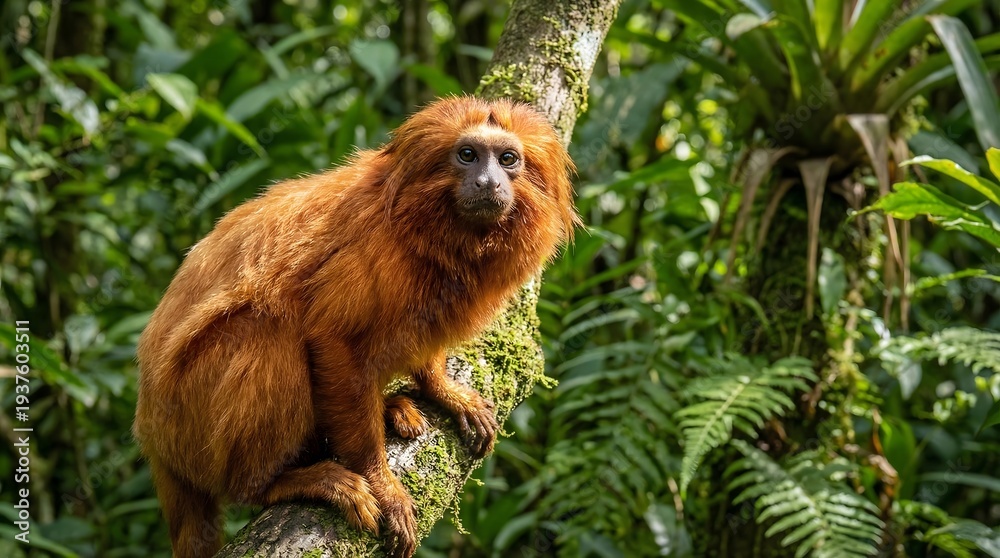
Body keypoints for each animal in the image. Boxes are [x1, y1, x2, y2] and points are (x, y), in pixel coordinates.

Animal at [132, 96, 578, 558]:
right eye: (468, 155)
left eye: (508, 159)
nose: (488, 182)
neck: (430, 227)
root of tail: (152, 436)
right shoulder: (373, 248)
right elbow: (333, 337)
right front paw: (382, 483)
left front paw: (443, 389)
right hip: (189, 417)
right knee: (266, 331)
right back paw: (281, 482)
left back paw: (387, 408)